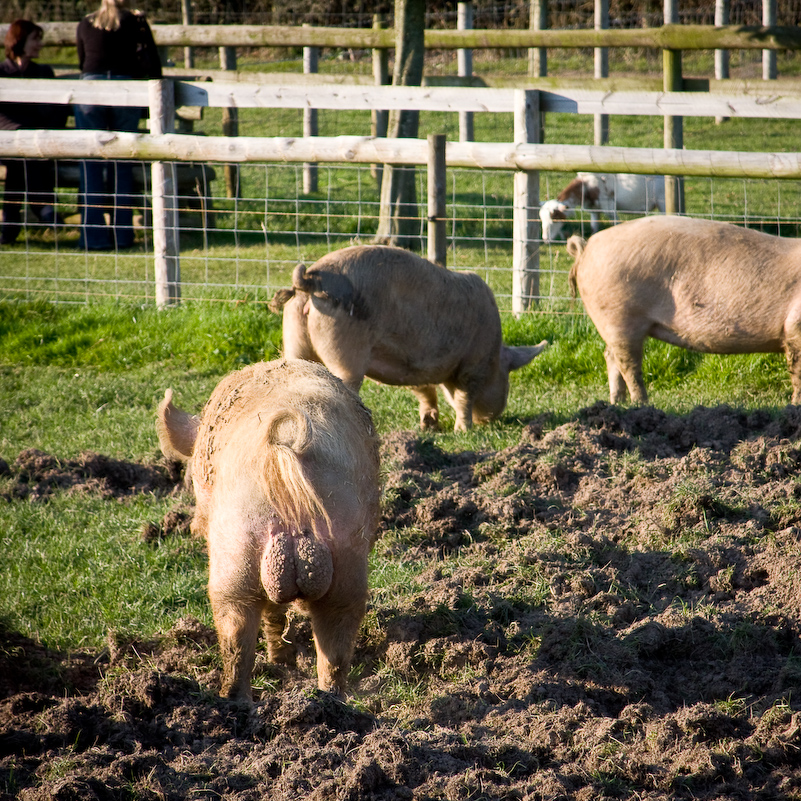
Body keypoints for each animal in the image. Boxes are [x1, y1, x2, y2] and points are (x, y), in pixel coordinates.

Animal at [159, 360, 382, 704]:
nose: (194, 528)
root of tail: (284, 451)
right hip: (345, 556)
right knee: (335, 641)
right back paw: (330, 700)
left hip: (235, 549)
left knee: (237, 634)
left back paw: (235, 698)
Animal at [266, 244, 548, 432]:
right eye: (507, 375)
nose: (492, 418)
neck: (494, 353)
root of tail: (310, 279)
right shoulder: (473, 365)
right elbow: (464, 398)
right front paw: (463, 430)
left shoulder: (413, 366)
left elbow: (424, 390)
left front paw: (428, 426)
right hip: (345, 350)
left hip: (293, 336)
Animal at [564, 212, 800, 404]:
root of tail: (586, 248)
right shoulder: (794, 327)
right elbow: (797, 372)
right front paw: (794, 406)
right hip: (619, 316)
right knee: (628, 364)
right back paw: (642, 404)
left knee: (611, 357)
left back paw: (618, 403)